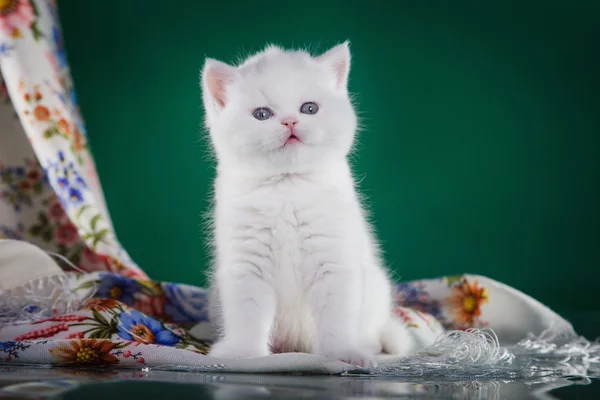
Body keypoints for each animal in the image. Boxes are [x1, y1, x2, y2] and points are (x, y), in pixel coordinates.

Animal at [204, 43, 420, 366]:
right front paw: (241, 354)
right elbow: (248, 316)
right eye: (262, 114)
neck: (287, 189)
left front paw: (344, 354)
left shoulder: (334, 259)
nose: (290, 121)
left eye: (309, 108)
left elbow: (336, 317)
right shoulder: (246, 265)